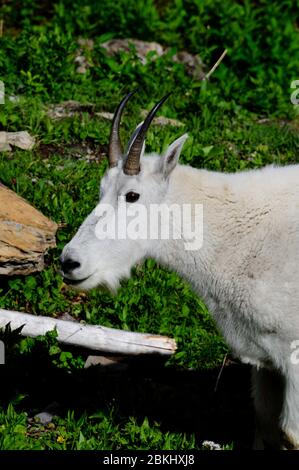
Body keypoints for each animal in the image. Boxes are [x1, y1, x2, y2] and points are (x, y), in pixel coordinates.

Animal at [59, 91, 299, 448]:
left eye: (133, 195)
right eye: (101, 190)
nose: (70, 262)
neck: (238, 237)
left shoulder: (294, 356)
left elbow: (289, 433)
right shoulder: (266, 361)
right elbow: (266, 424)